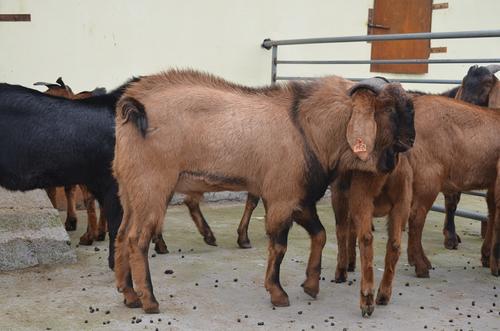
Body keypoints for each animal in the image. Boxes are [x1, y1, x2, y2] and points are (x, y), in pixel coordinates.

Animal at [34, 77, 107, 244]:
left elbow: (53, 191)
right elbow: (69, 189)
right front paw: (71, 221)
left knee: (90, 198)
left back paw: (89, 236)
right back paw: (100, 232)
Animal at [112, 70, 414, 316]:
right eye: (389, 108)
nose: (411, 140)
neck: (307, 128)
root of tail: (134, 106)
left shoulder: (300, 200)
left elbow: (320, 234)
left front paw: (311, 285)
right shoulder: (282, 198)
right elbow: (279, 245)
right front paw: (278, 293)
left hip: (129, 190)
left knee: (121, 235)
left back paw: (130, 296)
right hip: (152, 188)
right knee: (137, 239)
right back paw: (150, 301)